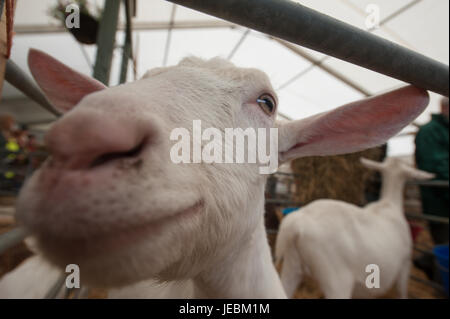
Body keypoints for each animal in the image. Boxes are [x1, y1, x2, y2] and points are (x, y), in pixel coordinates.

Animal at [276, 158, 434, 300]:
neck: (389, 204)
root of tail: (296, 223)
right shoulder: (405, 264)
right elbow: (402, 292)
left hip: (292, 266)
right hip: (336, 281)